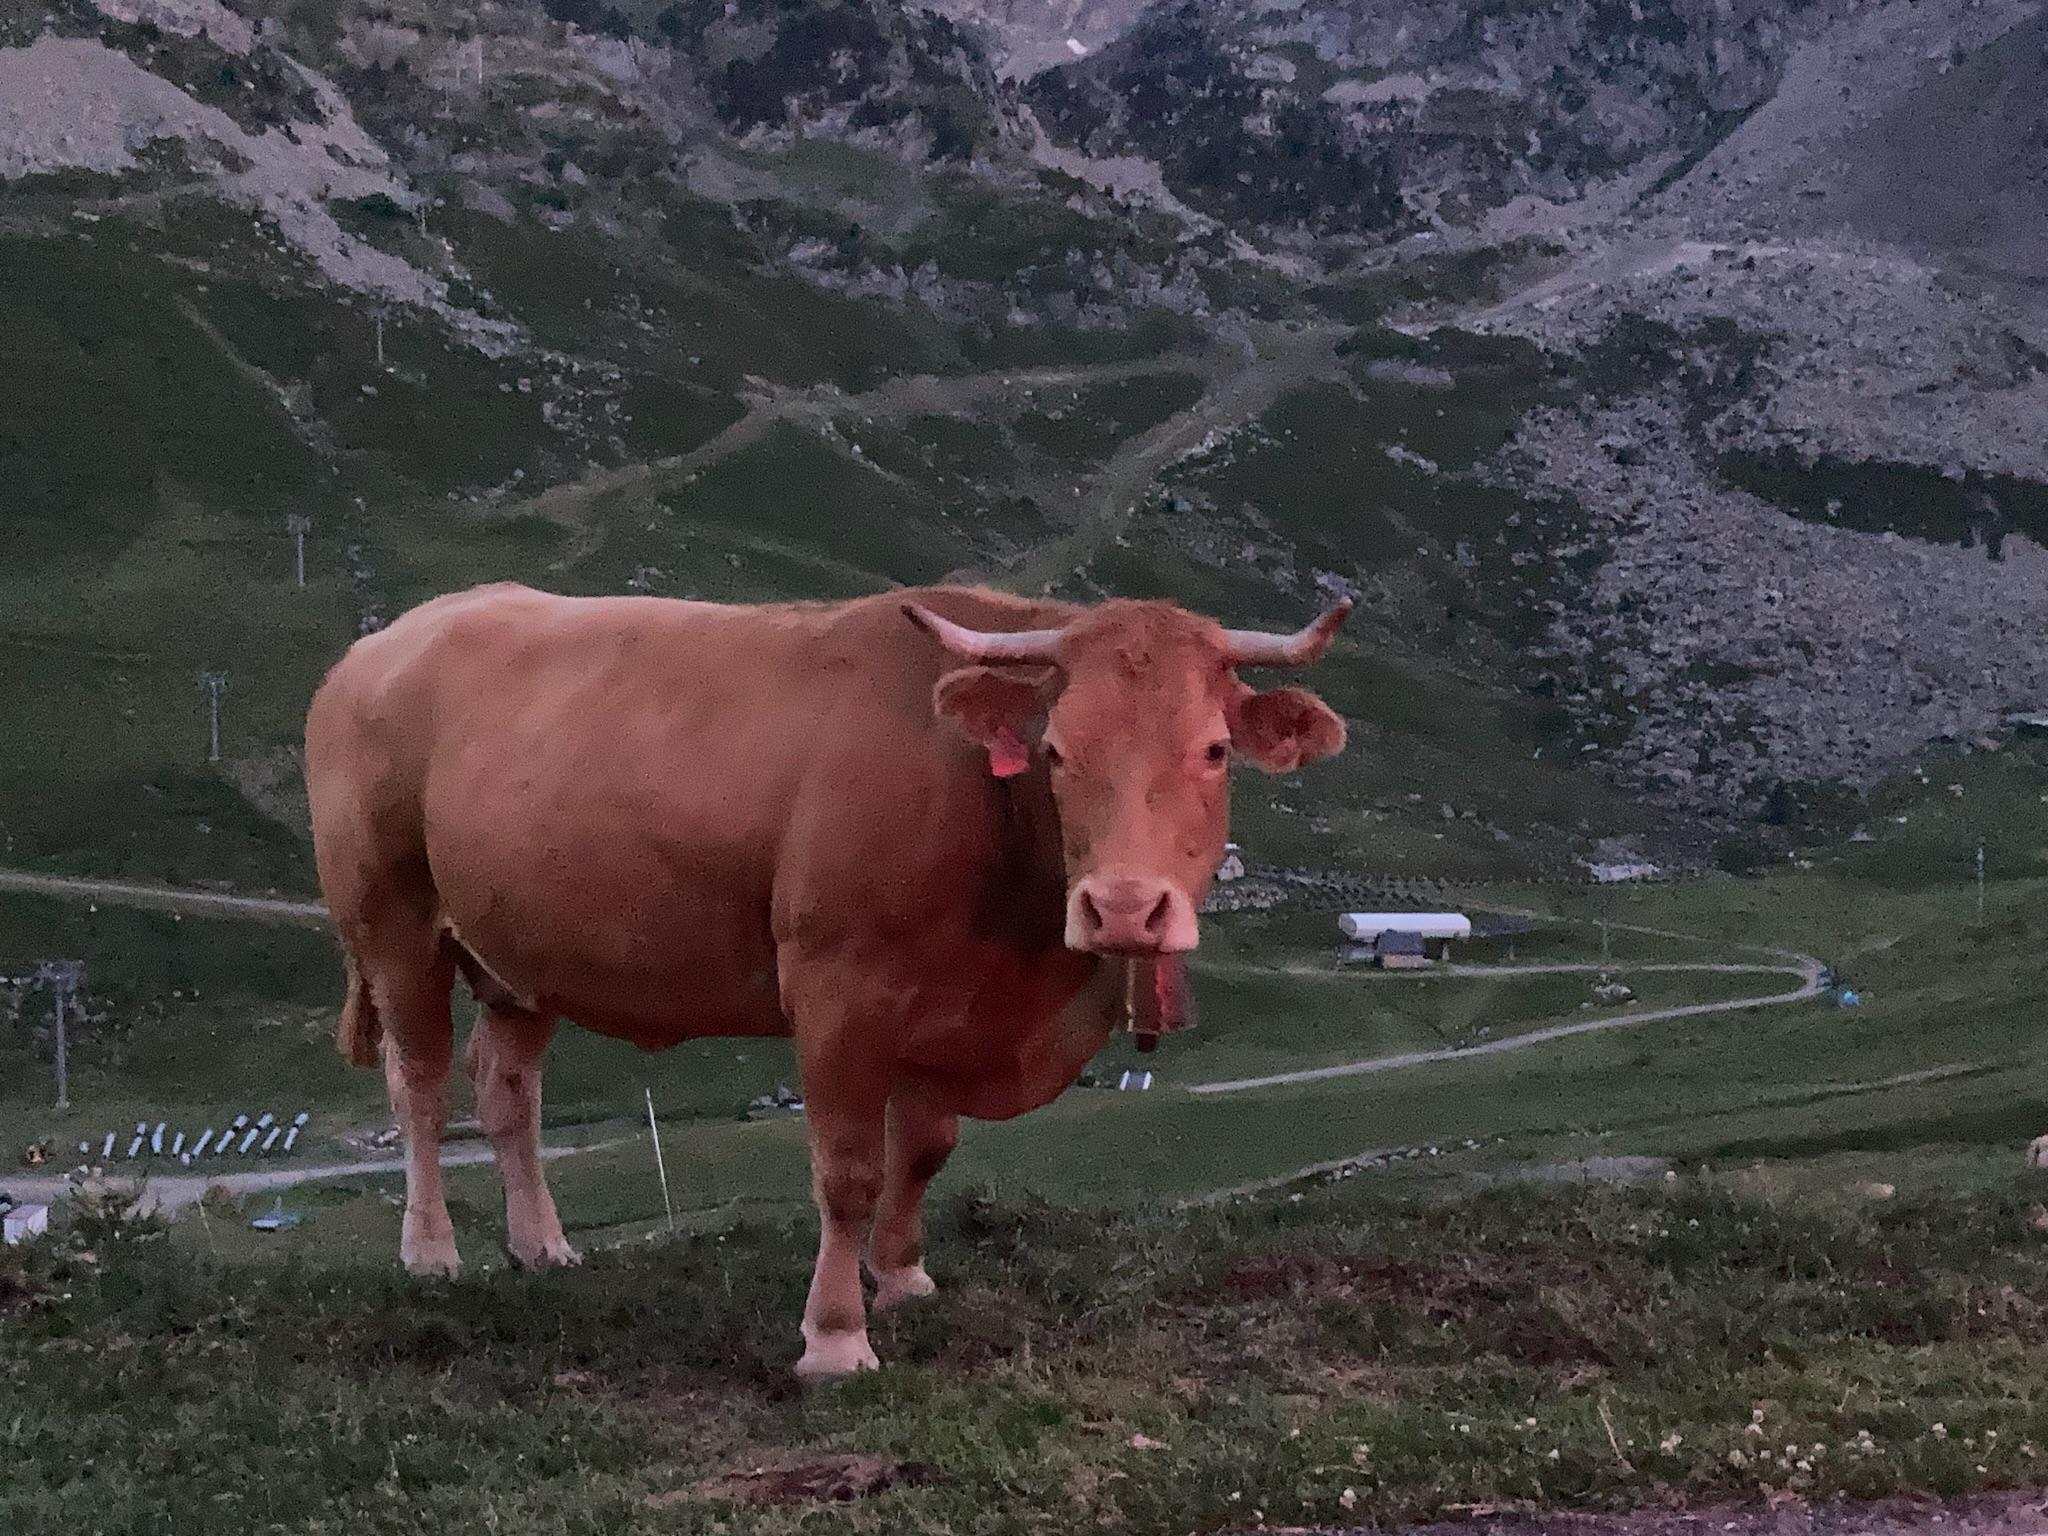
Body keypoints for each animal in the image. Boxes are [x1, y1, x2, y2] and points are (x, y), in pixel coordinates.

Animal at [303, 581, 1351, 1376]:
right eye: (1057, 750)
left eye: (1213, 749)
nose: (1125, 909)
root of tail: (385, 642)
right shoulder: (839, 997)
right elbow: (849, 1172)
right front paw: (837, 1337)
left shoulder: (949, 1007)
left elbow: (921, 1152)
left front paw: (905, 1279)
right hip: (392, 922)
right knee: (421, 1086)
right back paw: (433, 1251)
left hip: (517, 954)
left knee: (508, 1091)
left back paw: (543, 1248)